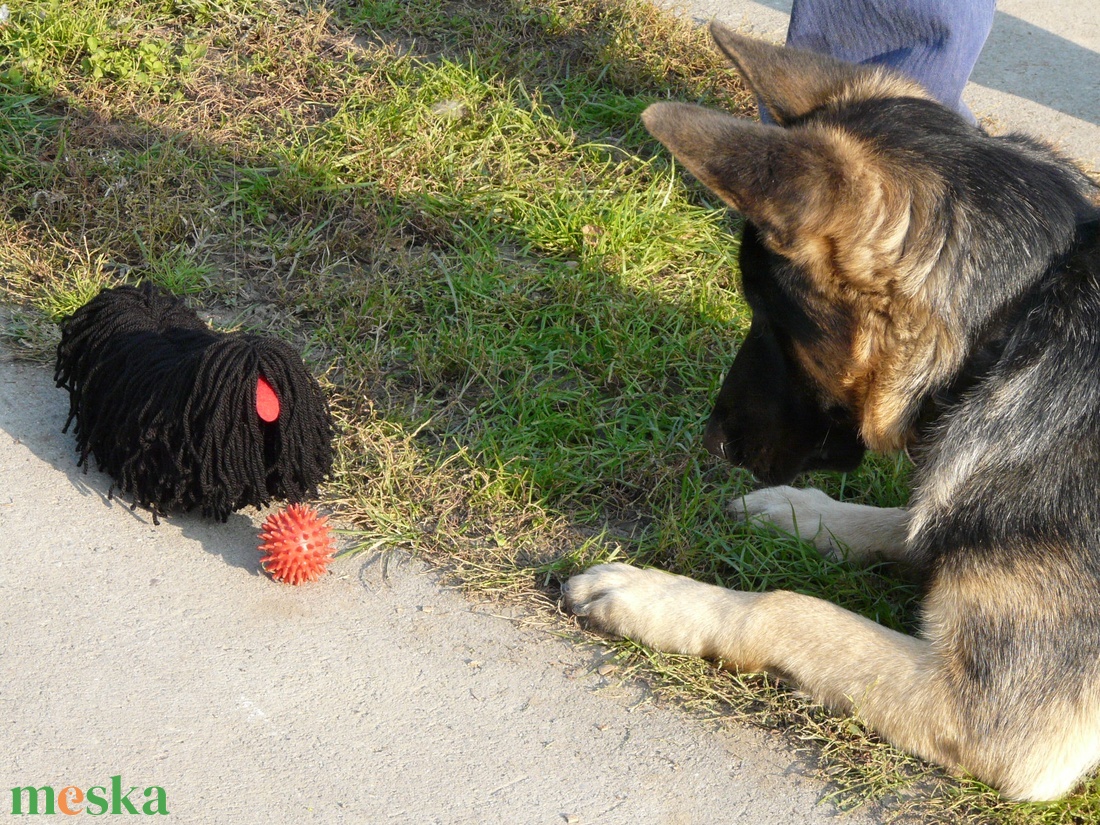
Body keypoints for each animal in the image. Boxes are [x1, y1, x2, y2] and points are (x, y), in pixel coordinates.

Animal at [563, 22, 1100, 805]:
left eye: (769, 314)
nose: (714, 443)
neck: (1015, 323)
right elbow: (906, 524)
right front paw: (801, 513)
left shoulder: (996, 719)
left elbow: (788, 606)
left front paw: (651, 594)